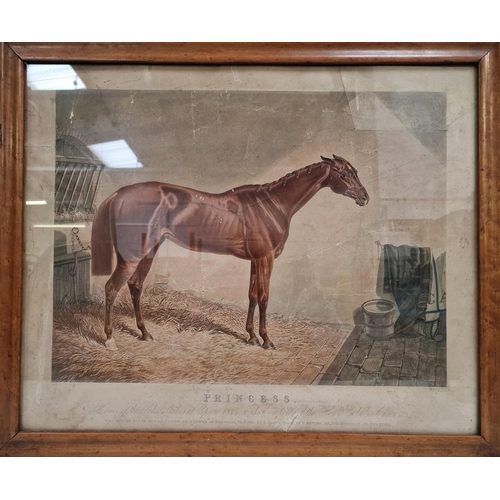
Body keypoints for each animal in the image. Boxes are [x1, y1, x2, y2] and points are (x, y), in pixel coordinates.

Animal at [92, 154, 370, 350]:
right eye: (343, 174)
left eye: (355, 172)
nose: (364, 198)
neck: (272, 204)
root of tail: (118, 195)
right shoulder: (266, 258)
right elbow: (264, 297)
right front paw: (266, 340)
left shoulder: (255, 260)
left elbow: (251, 296)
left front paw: (251, 336)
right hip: (132, 256)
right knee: (112, 288)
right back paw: (110, 339)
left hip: (148, 252)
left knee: (135, 286)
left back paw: (145, 333)